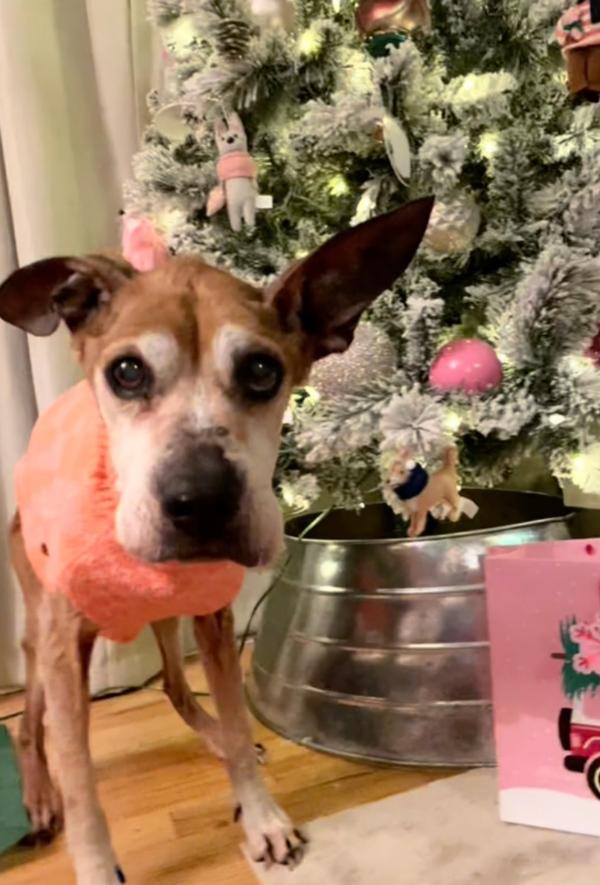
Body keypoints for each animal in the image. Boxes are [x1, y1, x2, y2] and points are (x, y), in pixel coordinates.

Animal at [0, 197, 432, 880]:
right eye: (127, 371)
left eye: (260, 370)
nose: (199, 502)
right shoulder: (66, 646)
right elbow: (83, 786)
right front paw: (94, 865)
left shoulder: (214, 618)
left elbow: (231, 712)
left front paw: (261, 817)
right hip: (40, 630)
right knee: (28, 727)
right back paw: (39, 797)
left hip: (170, 622)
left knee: (176, 686)